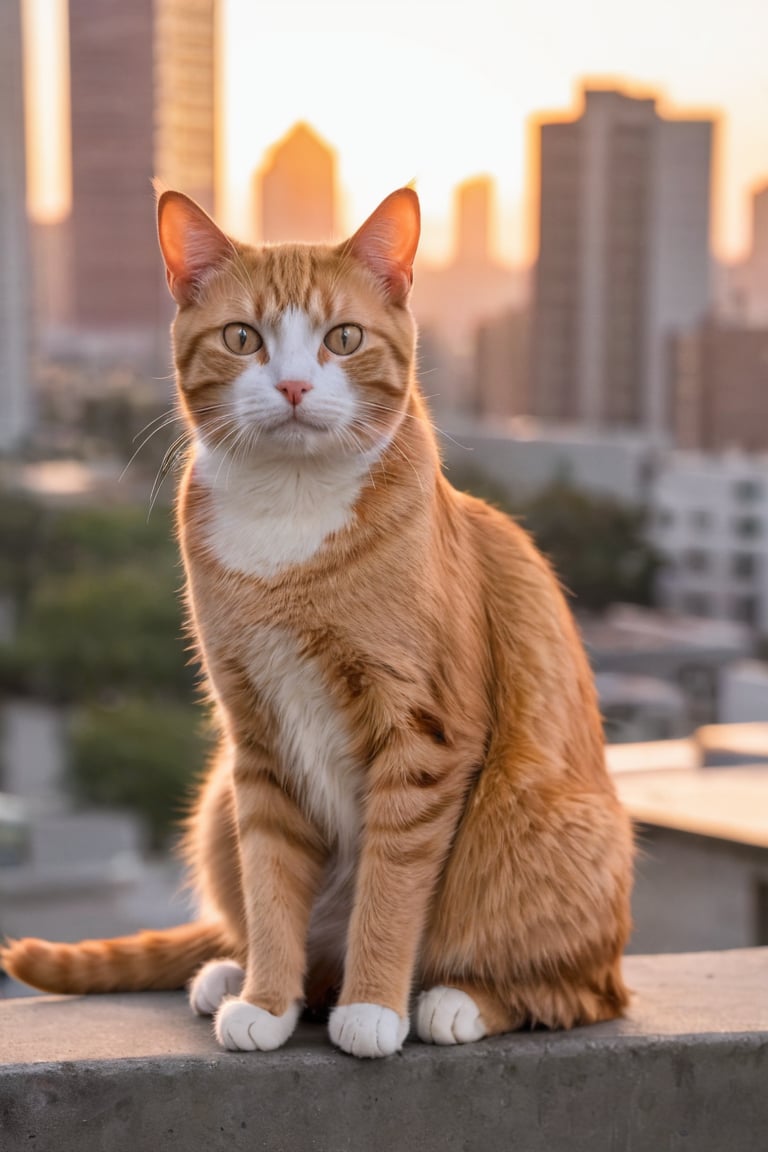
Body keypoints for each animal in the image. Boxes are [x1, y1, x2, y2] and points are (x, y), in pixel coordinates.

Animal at [3, 188, 635, 1059]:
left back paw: (453, 1001)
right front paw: (269, 1000)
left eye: (344, 339)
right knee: (284, 927)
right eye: (243, 338)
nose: (297, 387)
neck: (289, 520)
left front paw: (373, 1007)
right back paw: (239, 975)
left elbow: (392, 886)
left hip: (542, 828)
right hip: (216, 804)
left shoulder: (423, 734)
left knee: (585, 989)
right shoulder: (256, 737)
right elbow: (271, 884)